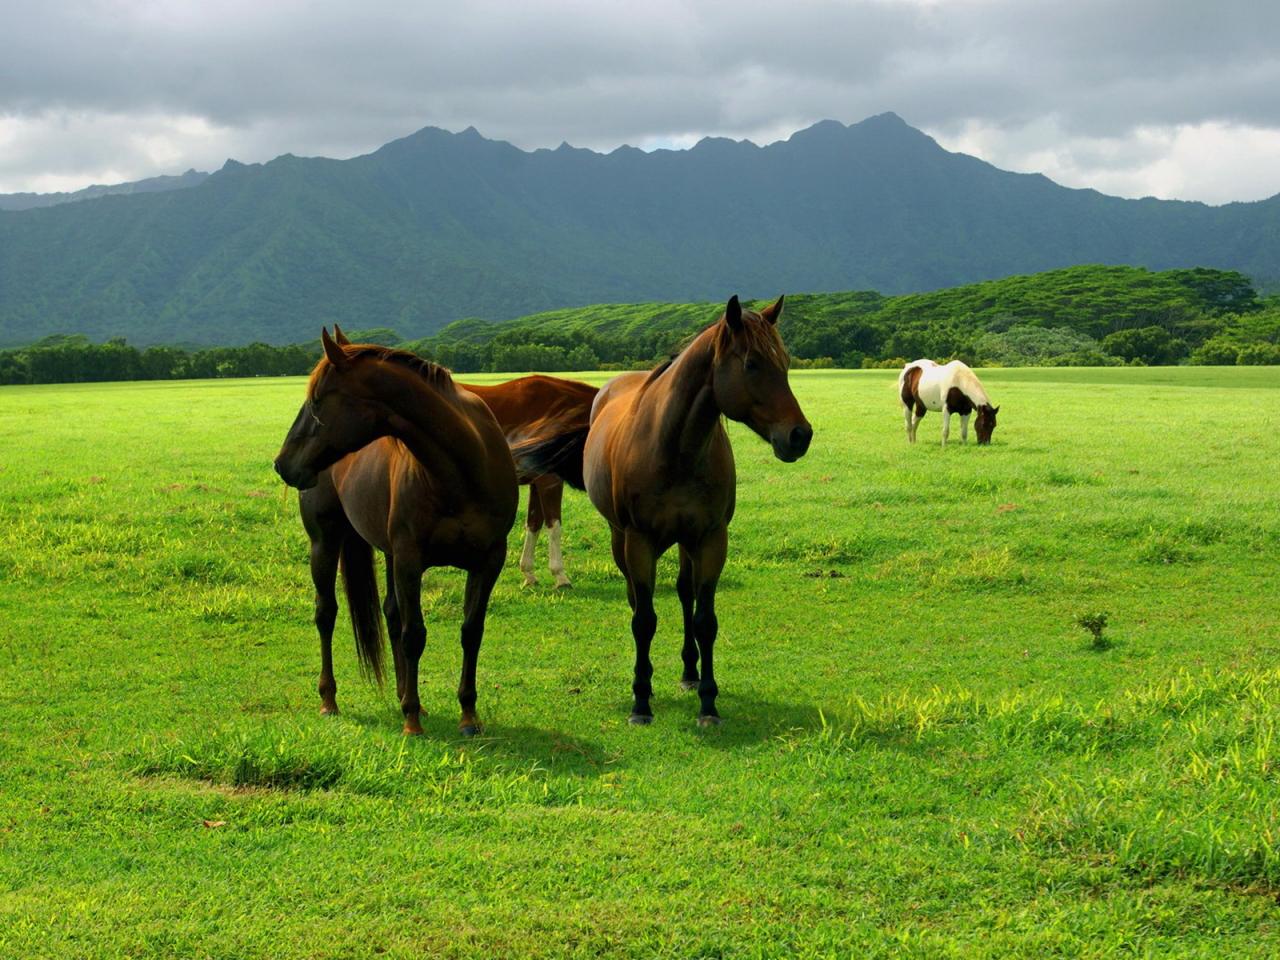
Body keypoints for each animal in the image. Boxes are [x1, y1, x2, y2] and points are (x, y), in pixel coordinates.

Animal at [272, 327, 517, 742]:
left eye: (317, 401)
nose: (282, 464)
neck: (463, 469)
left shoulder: (488, 561)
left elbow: (471, 631)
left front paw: (468, 714)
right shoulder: (409, 559)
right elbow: (414, 633)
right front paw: (412, 720)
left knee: (389, 612)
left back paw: (405, 693)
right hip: (326, 543)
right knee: (327, 613)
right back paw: (330, 700)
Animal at [524, 296, 814, 727]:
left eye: (786, 362)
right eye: (751, 364)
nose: (799, 435)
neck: (675, 447)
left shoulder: (710, 539)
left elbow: (704, 619)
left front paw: (708, 703)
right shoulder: (640, 541)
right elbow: (644, 620)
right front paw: (641, 701)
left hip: (685, 542)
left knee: (683, 593)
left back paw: (689, 673)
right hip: (620, 538)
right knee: (635, 598)